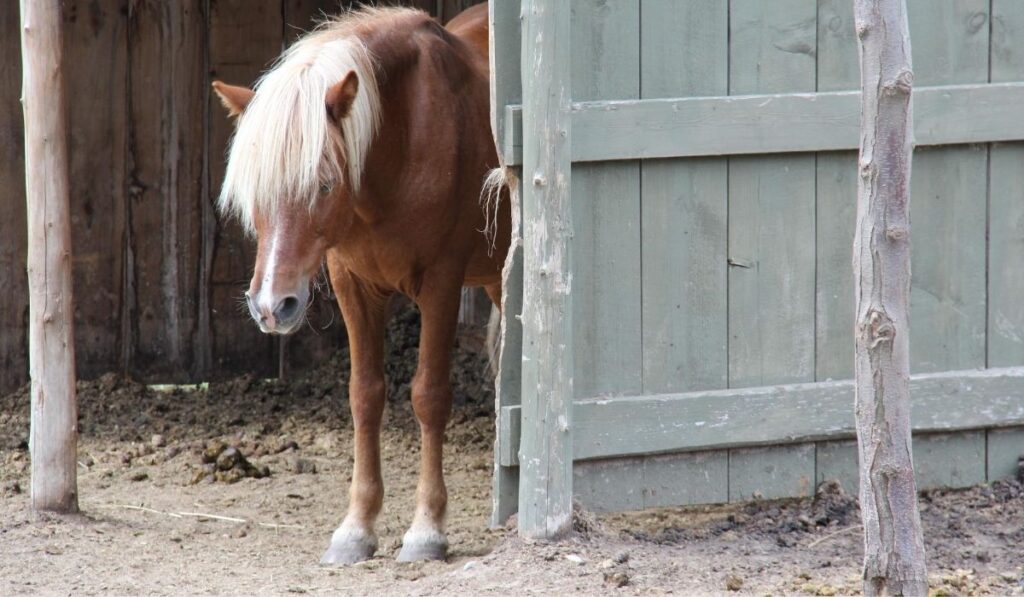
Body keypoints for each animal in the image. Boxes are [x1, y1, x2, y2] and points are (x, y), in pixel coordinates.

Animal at [212, 4, 510, 563]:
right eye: (254, 192)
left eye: (325, 184)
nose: (271, 306)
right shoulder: (352, 284)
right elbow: (364, 396)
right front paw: (356, 528)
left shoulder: (441, 283)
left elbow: (428, 395)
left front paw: (427, 530)